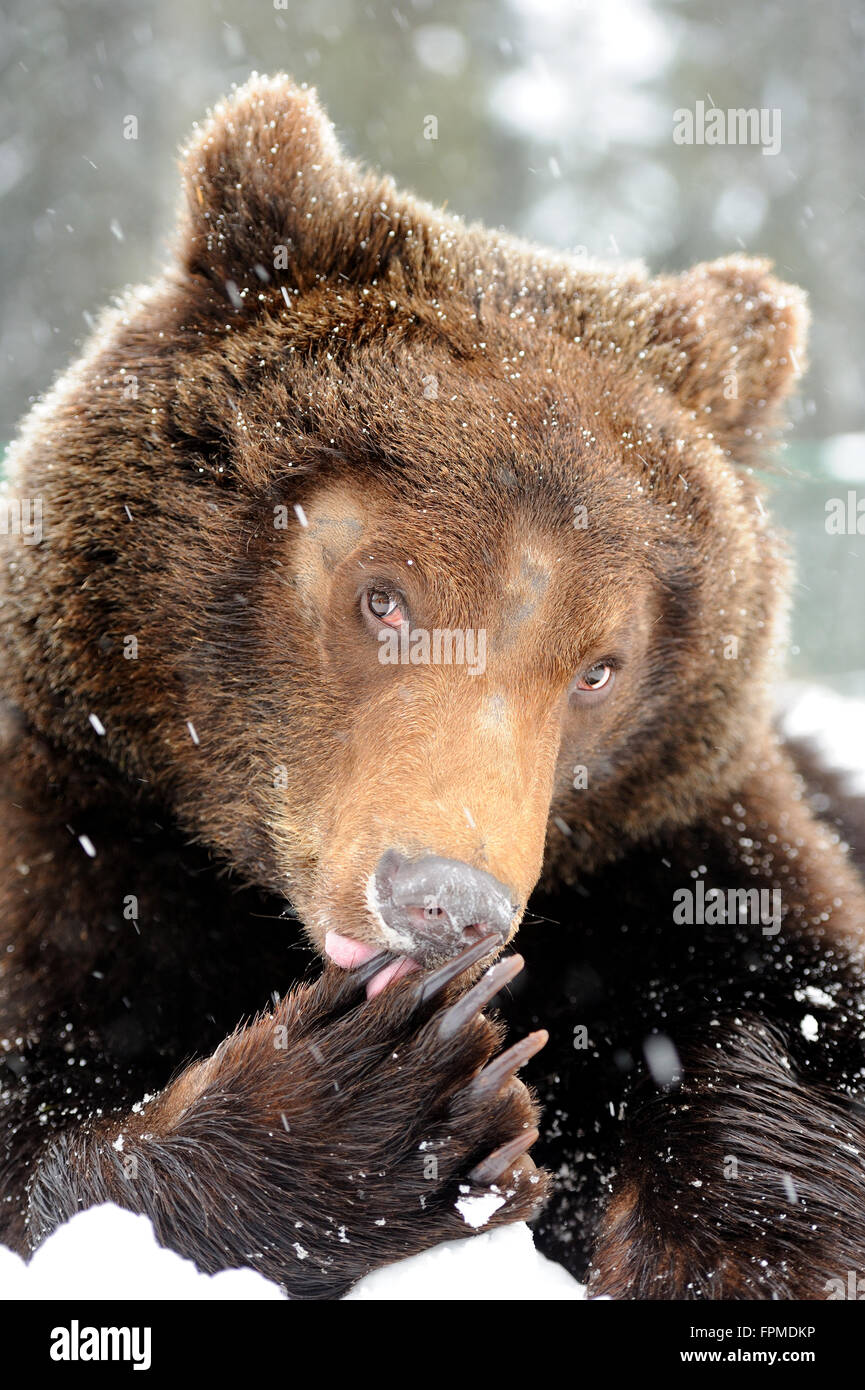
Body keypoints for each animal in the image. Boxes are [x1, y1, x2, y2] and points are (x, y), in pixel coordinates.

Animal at [1, 73, 865, 1289]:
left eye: (599, 668)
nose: (447, 902)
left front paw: (727, 1236)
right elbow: (41, 1126)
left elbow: (799, 1029)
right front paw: (393, 1097)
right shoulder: (81, 838)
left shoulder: (685, 841)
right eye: (382, 596)